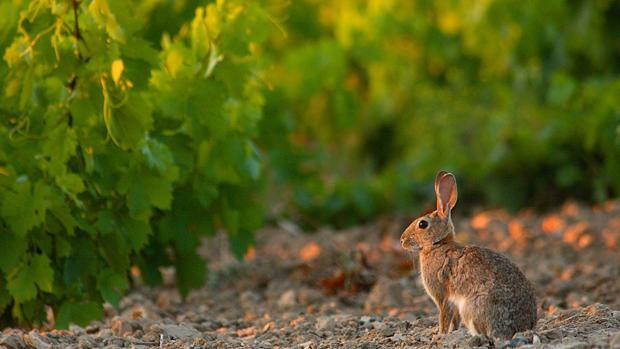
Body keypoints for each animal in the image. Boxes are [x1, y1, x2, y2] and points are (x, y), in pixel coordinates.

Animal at [400, 170, 536, 338]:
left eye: (422, 224)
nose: (402, 240)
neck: (438, 244)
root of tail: (523, 327)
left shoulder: (442, 296)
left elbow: (444, 316)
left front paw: (440, 334)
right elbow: (454, 319)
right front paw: (451, 332)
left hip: (471, 307)